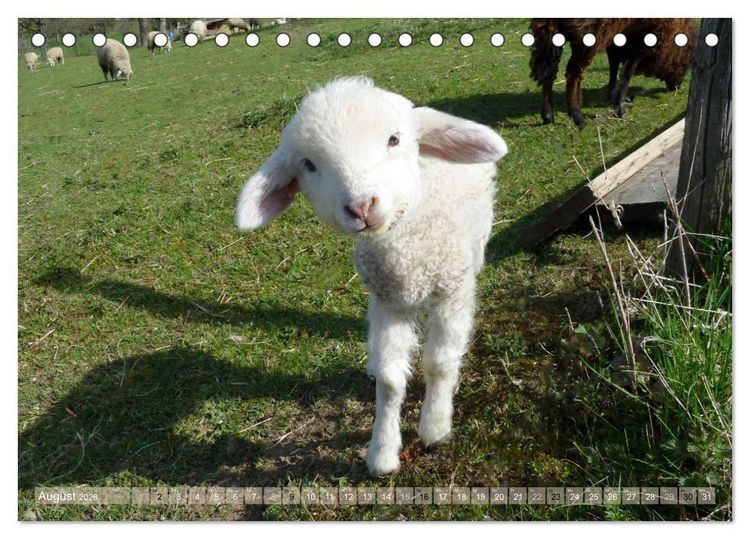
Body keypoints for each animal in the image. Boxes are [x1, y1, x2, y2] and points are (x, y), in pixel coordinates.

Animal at [235, 77, 508, 476]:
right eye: (309, 165)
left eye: (394, 139)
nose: (362, 207)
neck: (406, 246)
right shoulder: (387, 299)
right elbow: (391, 380)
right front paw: (382, 452)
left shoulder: (451, 288)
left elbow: (439, 362)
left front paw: (435, 426)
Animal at [530, 18, 697, 127]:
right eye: (685, 63)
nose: (676, 87)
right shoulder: (644, 38)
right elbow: (628, 71)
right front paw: (619, 107)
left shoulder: (619, 35)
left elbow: (614, 64)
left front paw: (613, 96)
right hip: (588, 31)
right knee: (573, 72)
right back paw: (577, 116)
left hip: (547, 28)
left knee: (549, 71)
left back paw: (547, 115)